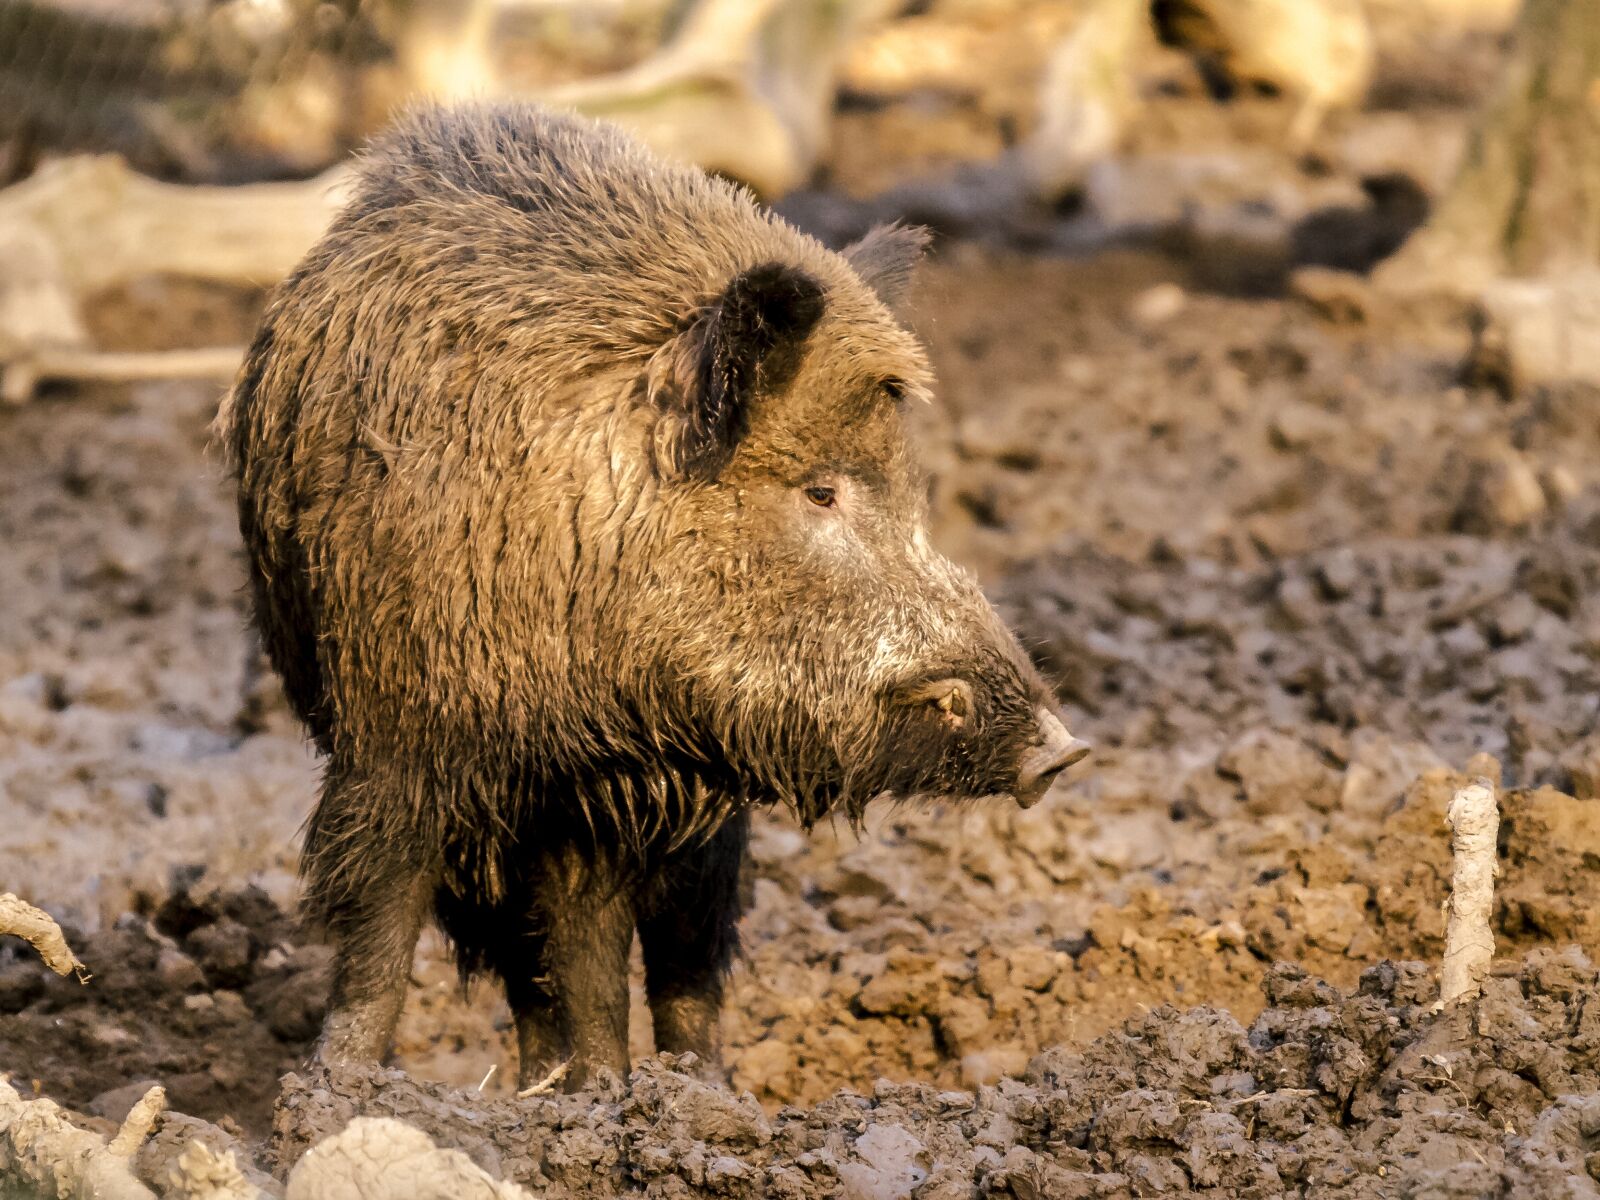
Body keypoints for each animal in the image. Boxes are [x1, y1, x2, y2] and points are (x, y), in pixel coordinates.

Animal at [218, 102, 1087, 1090]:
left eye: (915, 492)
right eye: (820, 492)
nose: (1063, 750)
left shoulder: (639, 789)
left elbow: (620, 952)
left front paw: (632, 1097)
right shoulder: (396, 730)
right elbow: (381, 921)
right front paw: (334, 1088)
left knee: (672, 949)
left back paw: (681, 1086)